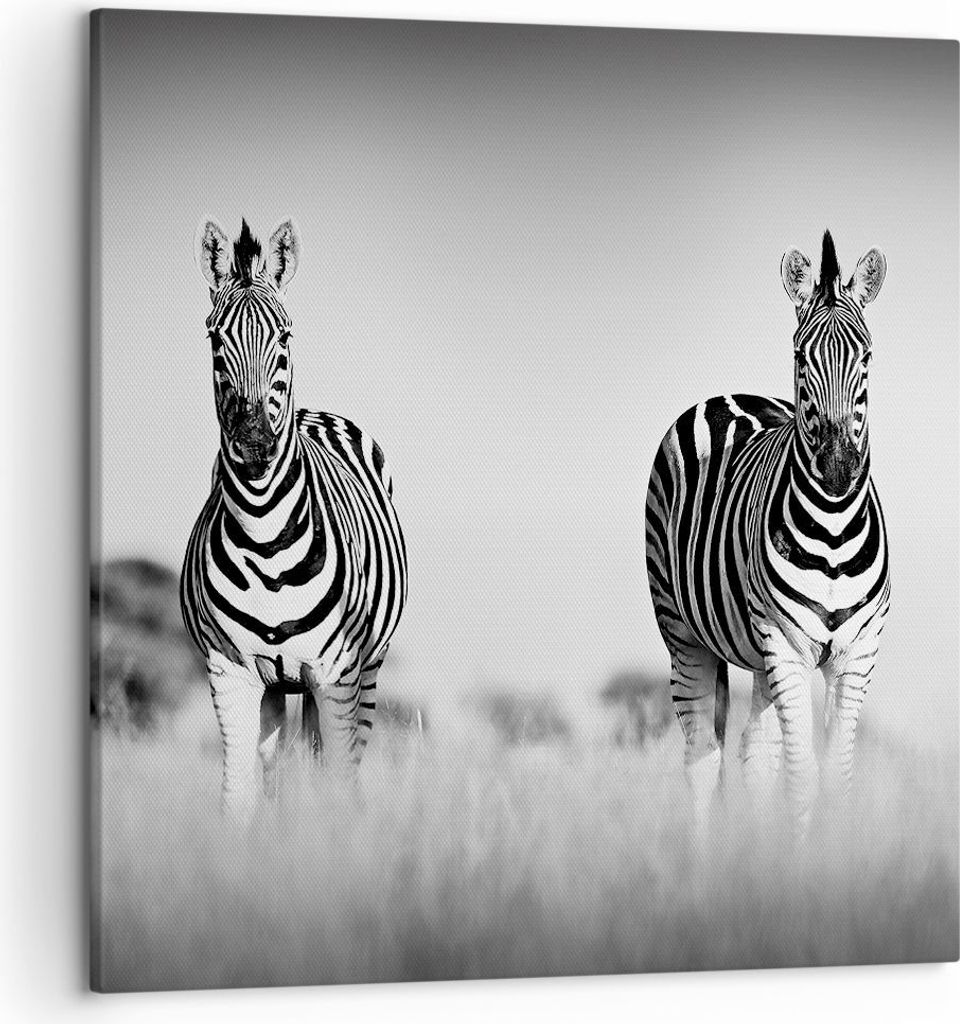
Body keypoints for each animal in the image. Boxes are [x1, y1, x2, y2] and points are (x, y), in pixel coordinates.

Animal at [181, 218, 408, 823]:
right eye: (215, 339)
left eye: (284, 337)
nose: (255, 441)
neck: (266, 539)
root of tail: (314, 412)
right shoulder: (230, 673)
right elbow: (239, 798)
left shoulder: (336, 674)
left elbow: (336, 784)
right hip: (278, 687)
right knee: (278, 769)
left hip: (365, 673)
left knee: (339, 766)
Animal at [645, 231, 889, 833]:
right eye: (801, 356)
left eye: (867, 356)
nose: (837, 467)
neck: (833, 531)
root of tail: (728, 393)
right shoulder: (786, 644)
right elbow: (801, 778)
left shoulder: (857, 654)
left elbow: (836, 779)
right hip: (682, 632)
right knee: (702, 761)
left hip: (757, 657)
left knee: (755, 758)